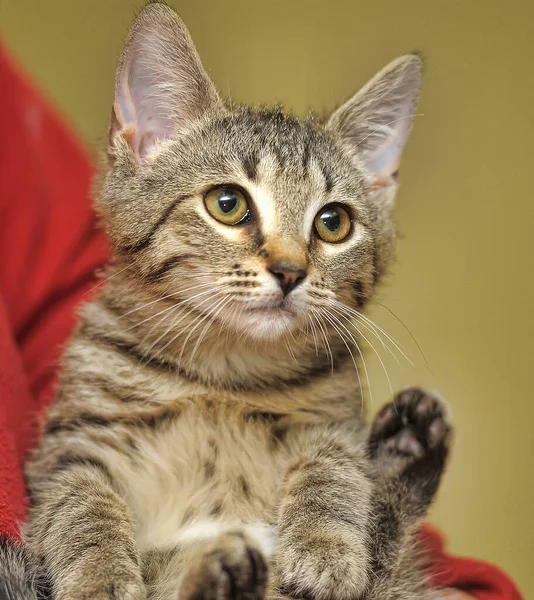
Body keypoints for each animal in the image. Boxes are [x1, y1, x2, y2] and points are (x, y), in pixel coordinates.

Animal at [19, 4, 452, 600]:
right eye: (227, 204)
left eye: (333, 222)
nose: (290, 271)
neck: (224, 374)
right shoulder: (69, 449)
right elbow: (81, 506)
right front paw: (100, 578)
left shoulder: (333, 423)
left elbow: (335, 467)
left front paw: (325, 545)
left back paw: (408, 446)